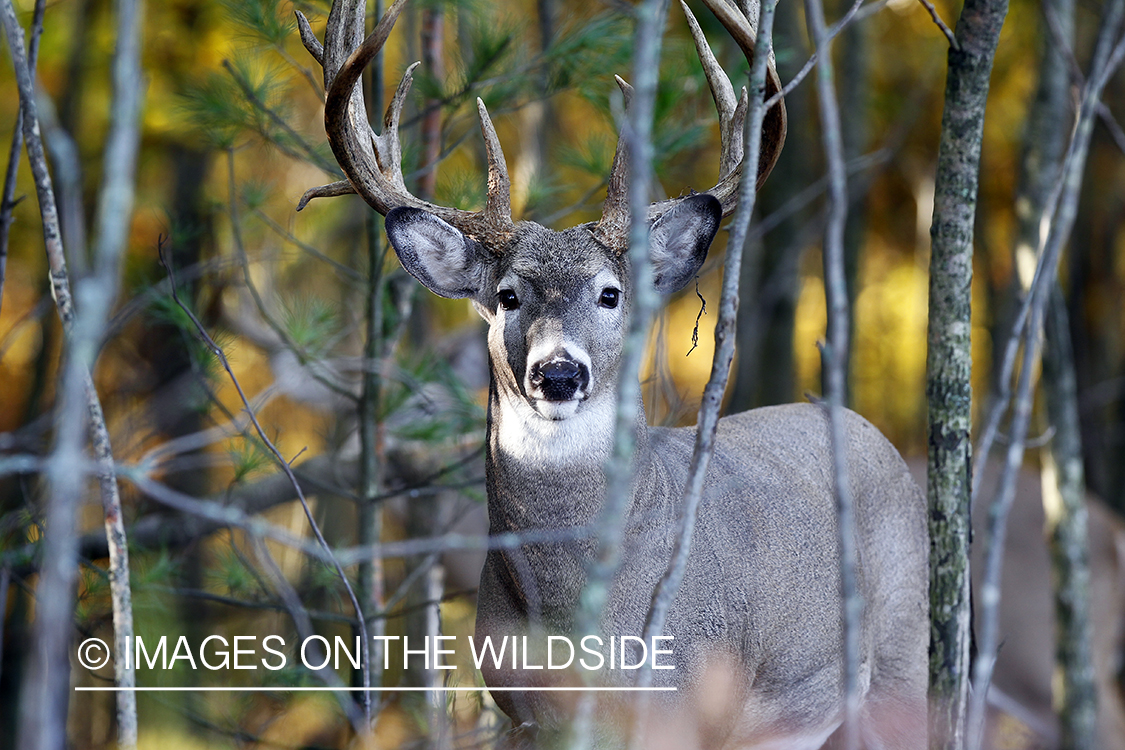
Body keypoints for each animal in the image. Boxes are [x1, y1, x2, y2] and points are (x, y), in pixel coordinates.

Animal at [299, 1, 922, 746]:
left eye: (610, 294)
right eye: (507, 295)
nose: (559, 373)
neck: (577, 618)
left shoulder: (681, 705)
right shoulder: (522, 711)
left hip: (900, 650)